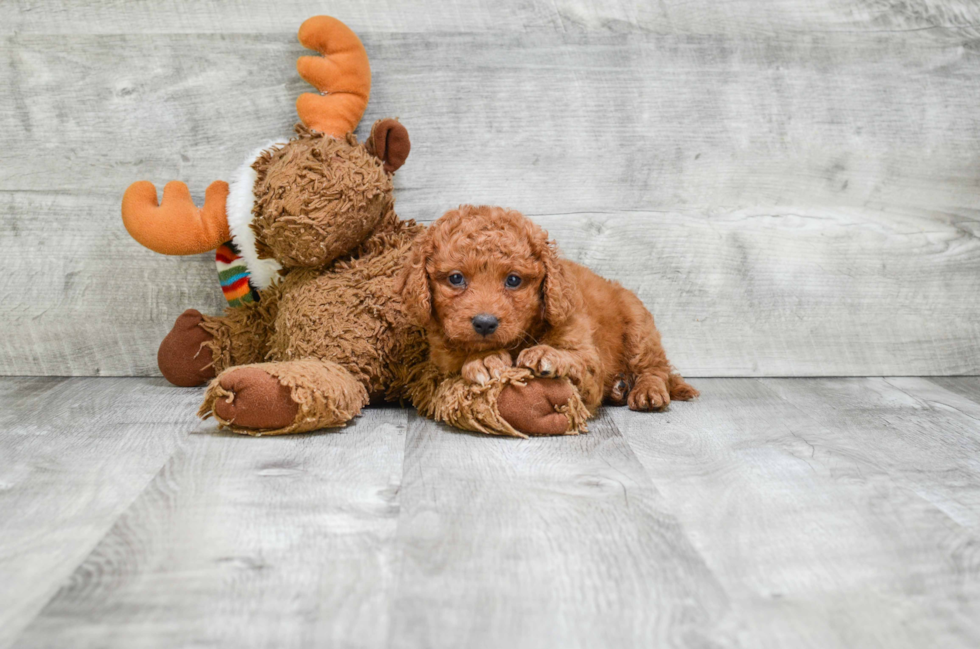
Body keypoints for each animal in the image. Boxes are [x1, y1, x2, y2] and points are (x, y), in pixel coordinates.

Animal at [398, 205, 696, 412]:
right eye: (456, 278)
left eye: (513, 280)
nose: (485, 323)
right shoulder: (442, 358)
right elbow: (458, 358)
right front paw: (484, 359)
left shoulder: (587, 357)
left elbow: (579, 361)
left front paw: (545, 354)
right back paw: (619, 388)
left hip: (638, 327)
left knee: (654, 368)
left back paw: (647, 391)